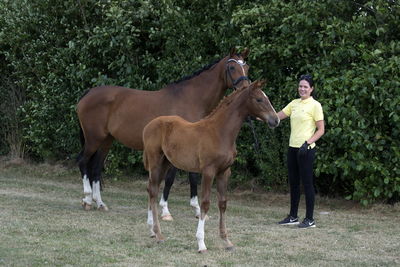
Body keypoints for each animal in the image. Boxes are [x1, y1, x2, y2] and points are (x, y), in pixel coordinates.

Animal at [76, 47, 250, 216]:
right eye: (232, 67)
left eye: (246, 67)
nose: (245, 89)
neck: (191, 99)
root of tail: (88, 94)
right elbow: (171, 178)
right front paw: (165, 209)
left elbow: (192, 176)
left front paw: (196, 209)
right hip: (94, 139)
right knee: (83, 161)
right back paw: (87, 200)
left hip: (106, 140)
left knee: (96, 167)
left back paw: (100, 203)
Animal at [143, 80, 278, 253]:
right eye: (259, 99)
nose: (275, 120)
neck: (220, 132)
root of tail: (148, 125)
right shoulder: (208, 171)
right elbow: (205, 204)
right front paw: (201, 243)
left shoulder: (224, 172)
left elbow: (223, 203)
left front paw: (227, 241)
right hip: (155, 162)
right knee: (153, 191)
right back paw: (158, 234)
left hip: (165, 164)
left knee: (151, 189)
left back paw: (152, 230)